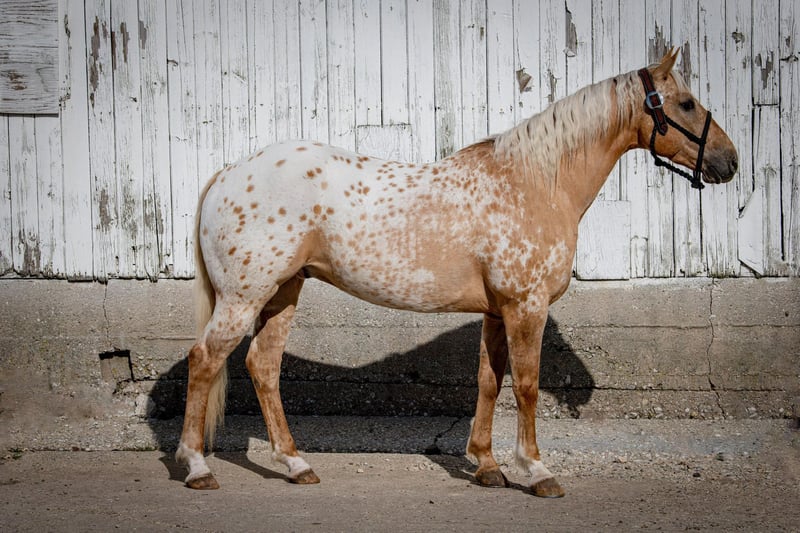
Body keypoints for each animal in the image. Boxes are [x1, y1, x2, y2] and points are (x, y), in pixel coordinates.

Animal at [175, 48, 736, 494]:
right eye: (686, 103)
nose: (729, 162)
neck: (534, 183)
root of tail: (229, 172)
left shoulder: (498, 311)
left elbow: (489, 381)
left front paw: (487, 466)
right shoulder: (526, 307)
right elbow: (526, 385)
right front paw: (536, 471)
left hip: (282, 293)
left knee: (263, 367)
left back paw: (294, 464)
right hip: (244, 297)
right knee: (204, 361)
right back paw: (198, 466)